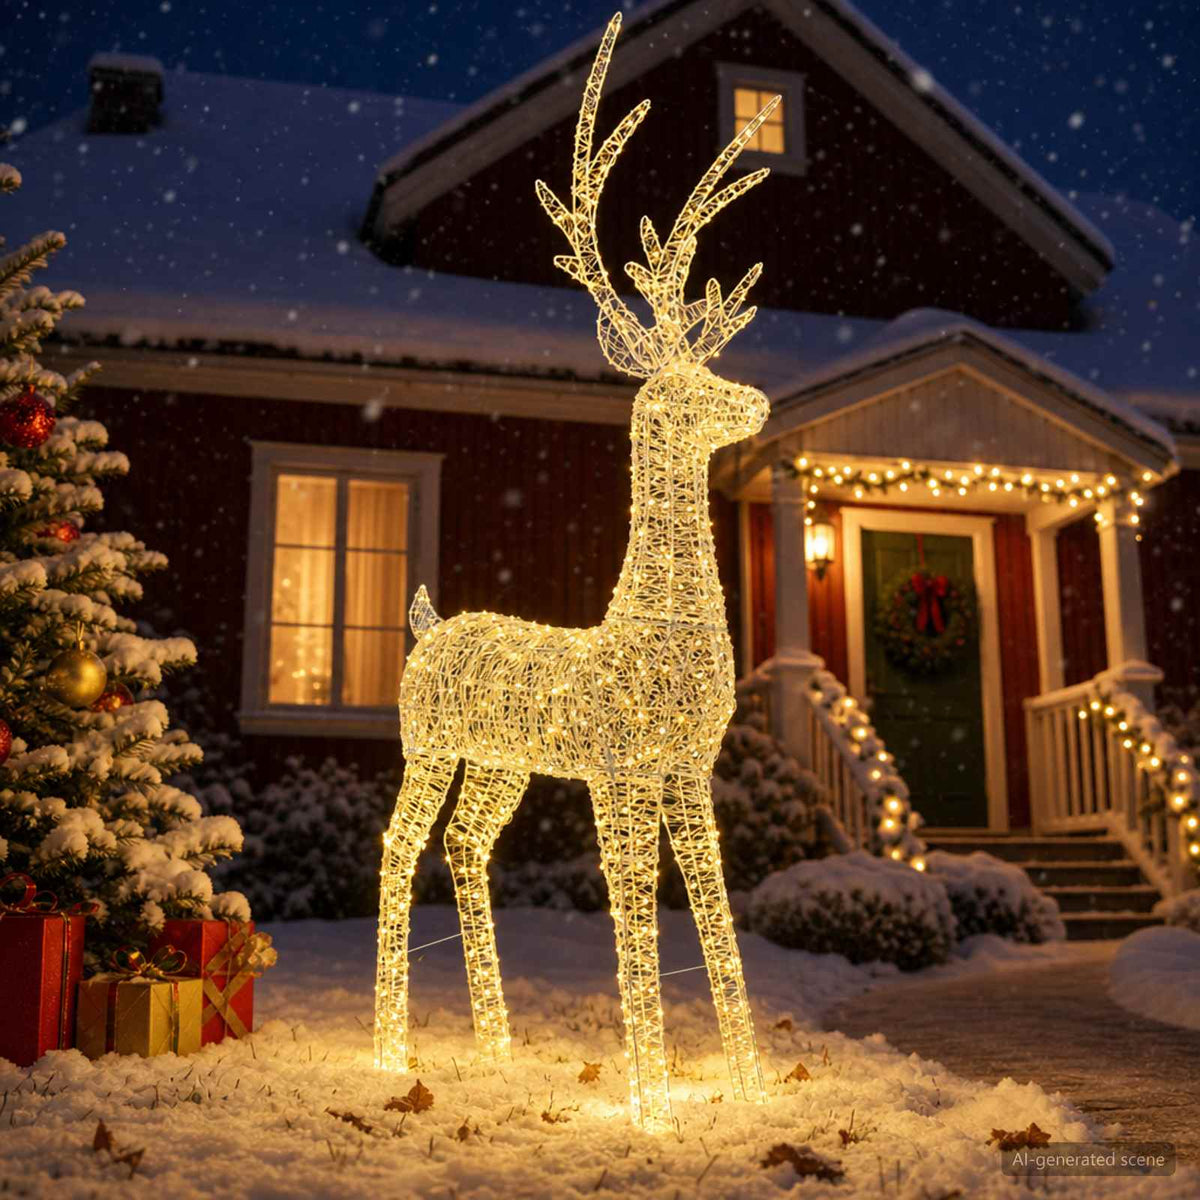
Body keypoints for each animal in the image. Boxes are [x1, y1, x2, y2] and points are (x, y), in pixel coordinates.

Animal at [375, 12, 778, 1133]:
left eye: (715, 363)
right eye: (684, 386)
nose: (759, 403)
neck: (653, 632)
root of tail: (429, 625)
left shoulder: (687, 769)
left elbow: (720, 922)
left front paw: (753, 1087)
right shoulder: (619, 770)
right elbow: (634, 914)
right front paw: (653, 1107)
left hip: (501, 763)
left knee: (465, 847)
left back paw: (499, 1048)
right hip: (426, 744)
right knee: (396, 851)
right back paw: (390, 1053)